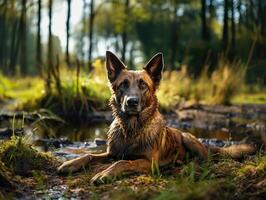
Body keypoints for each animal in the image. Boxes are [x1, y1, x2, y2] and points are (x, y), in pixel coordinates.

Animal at [58, 51, 256, 184]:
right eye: (123, 84)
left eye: (143, 85)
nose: (131, 102)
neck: (131, 129)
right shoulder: (111, 153)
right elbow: (90, 155)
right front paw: (71, 163)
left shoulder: (148, 162)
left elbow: (123, 162)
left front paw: (104, 174)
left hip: (188, 139)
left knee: (207, 160)